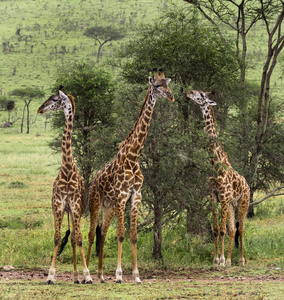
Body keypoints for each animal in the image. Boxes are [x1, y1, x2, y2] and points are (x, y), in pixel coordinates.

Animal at [37, 85, 92, 284]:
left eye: (54, 99)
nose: (40, 109)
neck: (67, 169)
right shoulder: (58, 205)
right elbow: (57, 237)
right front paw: (50, 275)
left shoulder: (75, 206)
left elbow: (79, 238)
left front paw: (87, 275)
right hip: (65, 211)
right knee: (70, 236)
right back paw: (75, 277)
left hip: (76, 211)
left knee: (75, 237)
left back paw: (78, 277)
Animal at [86, 68, 175, 284]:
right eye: (157, 85)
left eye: (168, 84)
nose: (171, 97)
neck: (134, 156)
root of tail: (93, 182)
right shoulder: (122, 195)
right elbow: (121, 234)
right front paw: (119, 275)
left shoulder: (136, 195)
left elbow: (133, 236)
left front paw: (136, 275)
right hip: (95, 202)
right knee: (91, 234)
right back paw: (87, 274)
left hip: (109, 207)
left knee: (102, 233)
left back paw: (101, 275)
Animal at [187, 89, 250, 268]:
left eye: (201, 95)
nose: (189, 92)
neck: (216, 164)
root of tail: (247, 185)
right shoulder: (214, 197)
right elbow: (216, 230)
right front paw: (216, 260)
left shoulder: (223, 197)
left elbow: (222, 230)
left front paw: (220, 260)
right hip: (231, 205)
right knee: (233, 229)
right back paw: (229, 261)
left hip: (243, 203)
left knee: (241, 229)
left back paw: (241, 260)